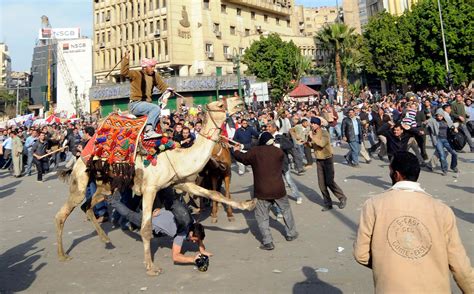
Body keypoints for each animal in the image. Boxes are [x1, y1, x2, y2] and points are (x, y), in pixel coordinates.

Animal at [54, 98, 256, 276]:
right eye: (221, 104)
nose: (239, 101)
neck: (176, 158)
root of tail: (81, 154)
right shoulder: (150, 189)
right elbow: (146, 228)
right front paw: (151, 267)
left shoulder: (180, 182)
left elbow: (214, 193)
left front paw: (249, 205)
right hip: (80, 180)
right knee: (63, 213)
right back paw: (62, 255)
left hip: (106, 184)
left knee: (87, 205)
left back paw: (106, 239)